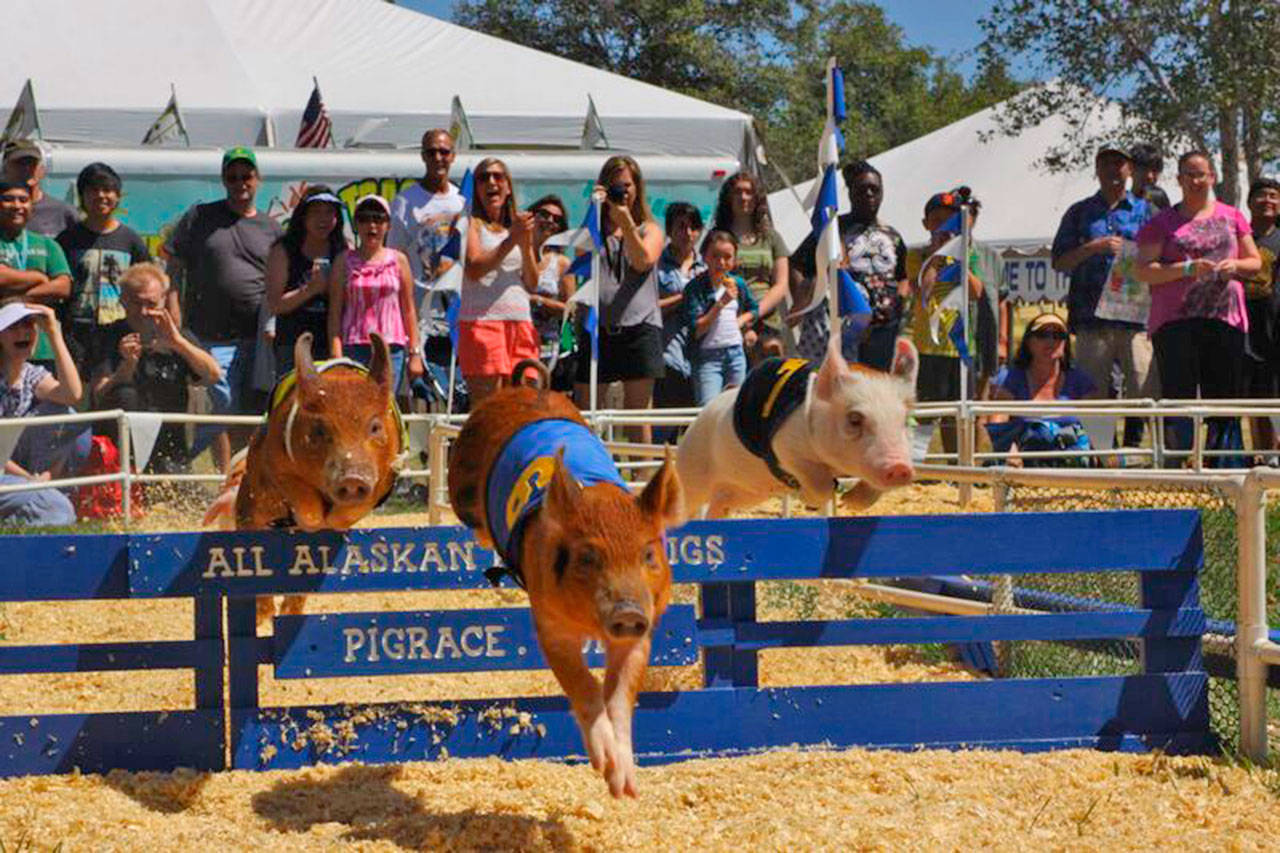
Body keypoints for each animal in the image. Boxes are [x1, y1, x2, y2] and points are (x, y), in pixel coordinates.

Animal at [453, 356, 691, 788]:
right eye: (587, 557)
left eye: (649, 553)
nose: (627, 611)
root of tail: (530, 388)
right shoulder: (548, 622)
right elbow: (582, 683)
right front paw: (603, 762)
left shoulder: (644, 628)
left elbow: (621, 694)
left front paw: (623, 784)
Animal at [675, 340, 916, 517]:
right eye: (855, 419)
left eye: (904, 419)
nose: (900, 467)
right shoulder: (785, 445)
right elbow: (820, 485)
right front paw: (809, 497)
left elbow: (874, 489)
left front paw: (848, 502)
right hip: (692, 472)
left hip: (747, 491)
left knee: (720, 504)